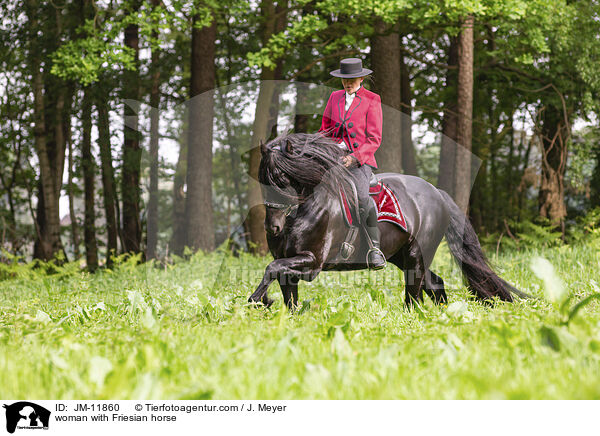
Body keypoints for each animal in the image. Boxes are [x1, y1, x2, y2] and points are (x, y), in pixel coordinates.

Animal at [248, 133, 524, 310]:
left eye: (282, 178)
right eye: (262, 178)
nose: (273, 227)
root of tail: (437, 193)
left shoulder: (312, 263)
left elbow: (272, 269)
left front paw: (257, 300)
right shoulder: (291, 262)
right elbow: (285, 291)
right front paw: (268, 305)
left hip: (416, 254)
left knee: (415, 293)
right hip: (400, 255)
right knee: (433, 284)